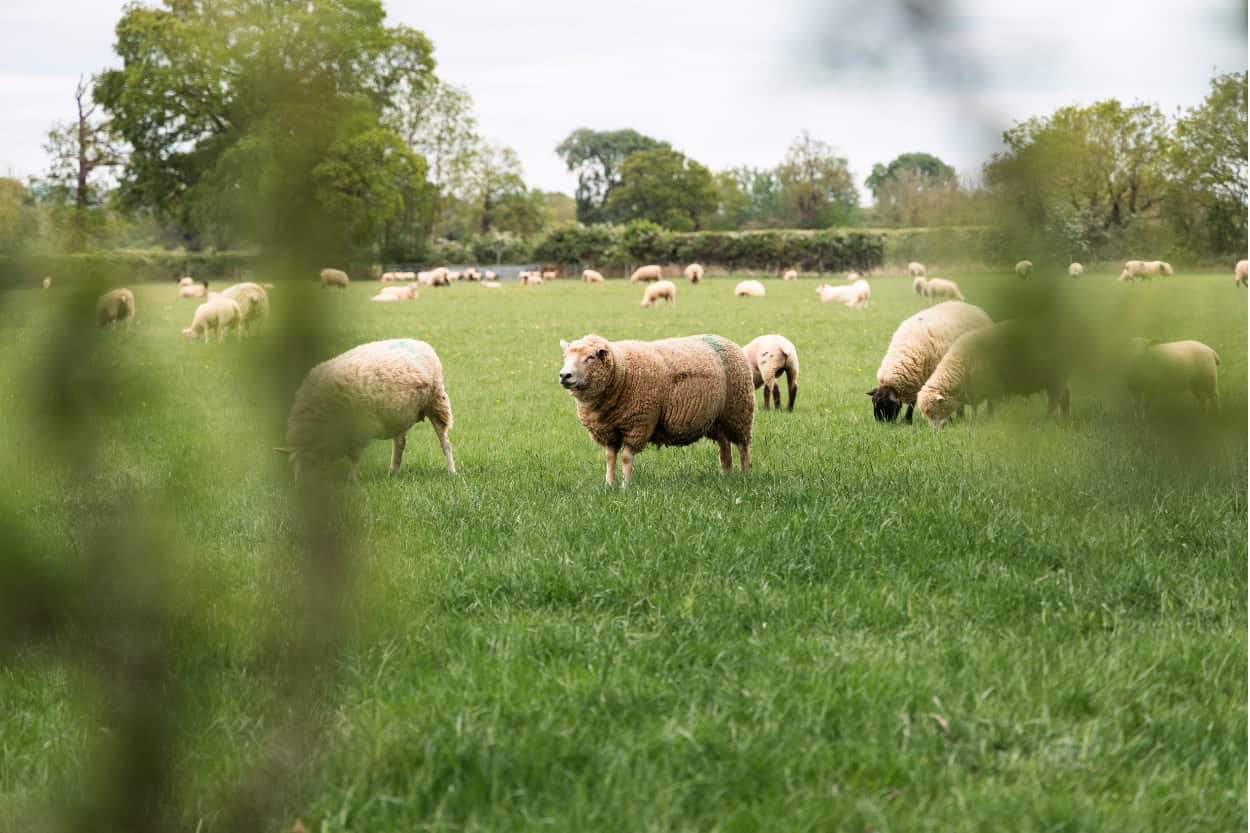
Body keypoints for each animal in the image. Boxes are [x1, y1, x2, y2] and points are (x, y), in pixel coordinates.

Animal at [279, 339, 455, 480]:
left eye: (311, 461)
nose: (301, 487)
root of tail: (422, 344)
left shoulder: (360, 429)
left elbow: (354, 457)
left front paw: (352, 479)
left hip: (436, 403)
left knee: (445, 443)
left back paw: (452, 471)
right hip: (399, 414)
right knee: (400, 443)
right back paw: (393, 472)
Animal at [557, 333, 754, 486]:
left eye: (590, 358)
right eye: (565, 357)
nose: (564, 375)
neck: (622, 373)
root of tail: (726, 341)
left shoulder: (638, 424)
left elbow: (626, 458)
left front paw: (625, 486)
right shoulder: (608, 431)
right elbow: (609, 458)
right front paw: (609, 485)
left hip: (739, 411)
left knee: (743, 446)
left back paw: (745, 474)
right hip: (717, 420)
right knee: (724, 445)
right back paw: (726, 474)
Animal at [916, 320, 1073, 427]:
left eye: (935, 410)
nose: (937, 431)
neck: (961, 365)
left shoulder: (994, 388)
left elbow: (993, 406)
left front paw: (994, 422)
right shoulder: (975, 390)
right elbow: (976, 409)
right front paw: (976, 421)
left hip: (1056, 377)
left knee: (1055, 400)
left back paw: (1047, 420)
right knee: (1064, 397)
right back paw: (1064, 417)